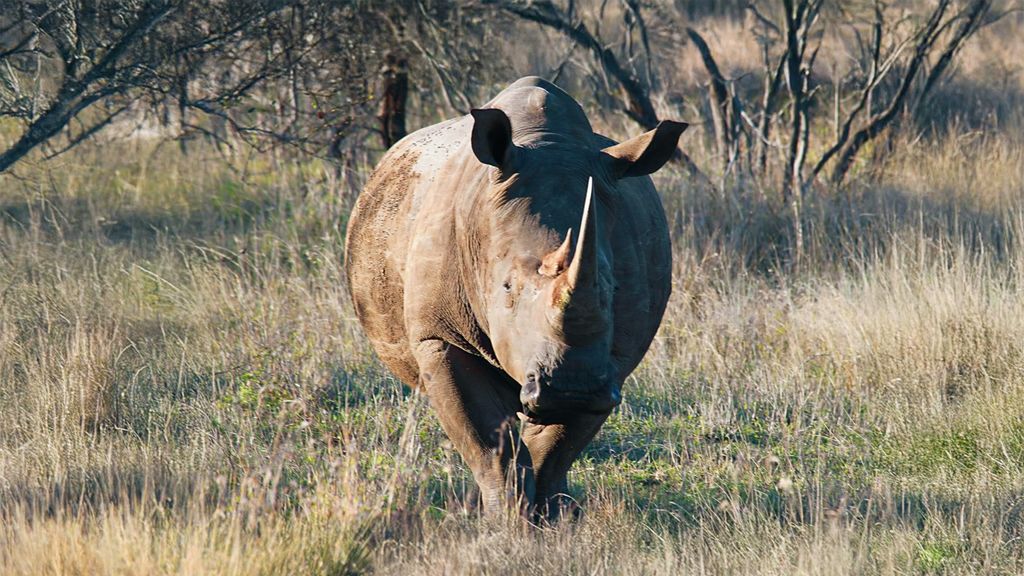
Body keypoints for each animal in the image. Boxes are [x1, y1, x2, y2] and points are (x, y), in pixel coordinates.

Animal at [345, 76, 685, 518]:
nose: (573, 389)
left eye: (613, 290)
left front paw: (553, 517)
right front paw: (505, 520)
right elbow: (489, 443)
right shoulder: (440, 335)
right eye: (506, 287)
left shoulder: (612, 362)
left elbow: (556, 446)